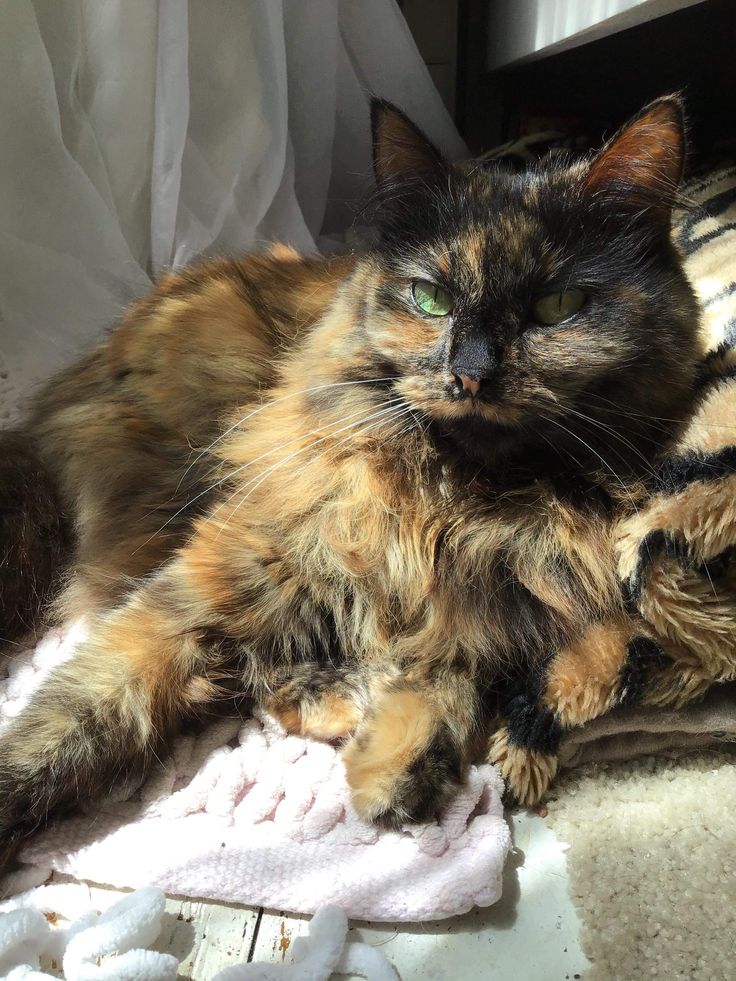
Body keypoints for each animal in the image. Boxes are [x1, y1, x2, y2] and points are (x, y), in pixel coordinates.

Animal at [0, 95, 700, 868]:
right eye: (429, 298)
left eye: (558, 305)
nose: (472, 373)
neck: (453, 507)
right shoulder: (210, 585)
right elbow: (73, 717)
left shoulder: (487, 604)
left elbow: (451, 679)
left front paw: (398, 764)